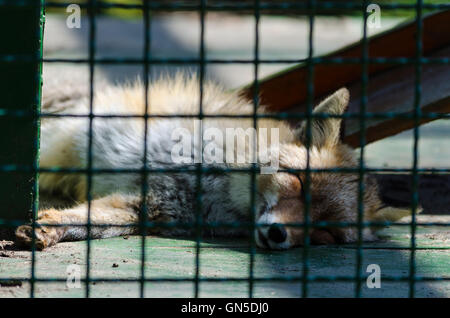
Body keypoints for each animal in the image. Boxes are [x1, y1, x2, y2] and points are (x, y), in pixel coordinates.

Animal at [15, 74, 414, 251]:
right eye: (298, 181)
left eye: (327, 231)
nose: (277, 234)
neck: (216, 190)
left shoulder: (143, 206)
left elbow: (86, 221)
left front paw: (49, 229)